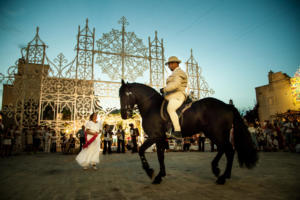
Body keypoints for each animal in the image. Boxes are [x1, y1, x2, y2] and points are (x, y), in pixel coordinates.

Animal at [119, 80, 258, 184]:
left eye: (125, 94)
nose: (124, 115)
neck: (152, 107)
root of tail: (227, 106)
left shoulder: (154, 136)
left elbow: (142, 150)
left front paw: (150, 172)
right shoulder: (160, 138)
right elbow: (160, 156)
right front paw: (160, 175)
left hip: (215, 133)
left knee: (226, 149)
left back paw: (219, 173)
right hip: (217, 134)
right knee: (228, 150)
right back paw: (224, 174)